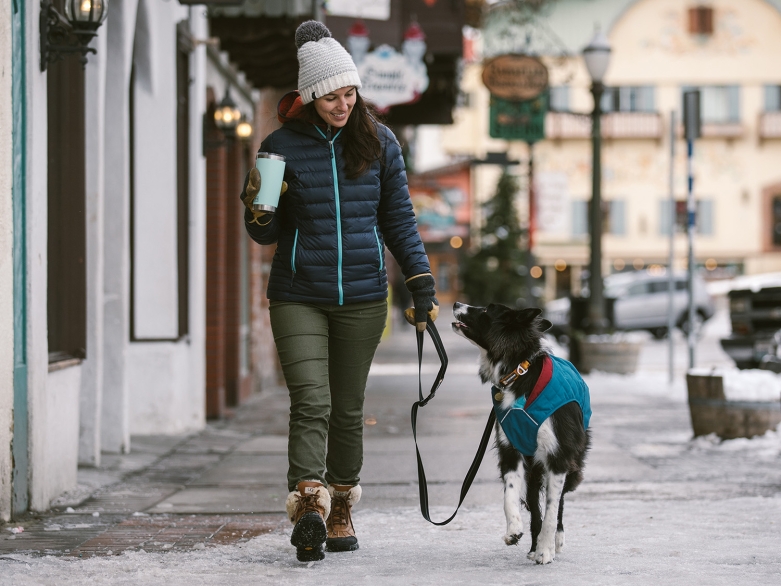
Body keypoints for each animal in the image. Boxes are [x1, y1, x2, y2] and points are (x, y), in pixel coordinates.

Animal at [450, 302, 592, 560]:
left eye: (485, 310)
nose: (456, 304)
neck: (518, 371)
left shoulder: (558, 455)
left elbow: (552, 507)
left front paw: (546, 549)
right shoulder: (511, 449)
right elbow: (510, 495)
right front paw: (514, 530)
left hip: (572, 459)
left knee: (560, 501)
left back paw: (555, 540)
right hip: (534, 467)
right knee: (534, 503)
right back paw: (533, 546)